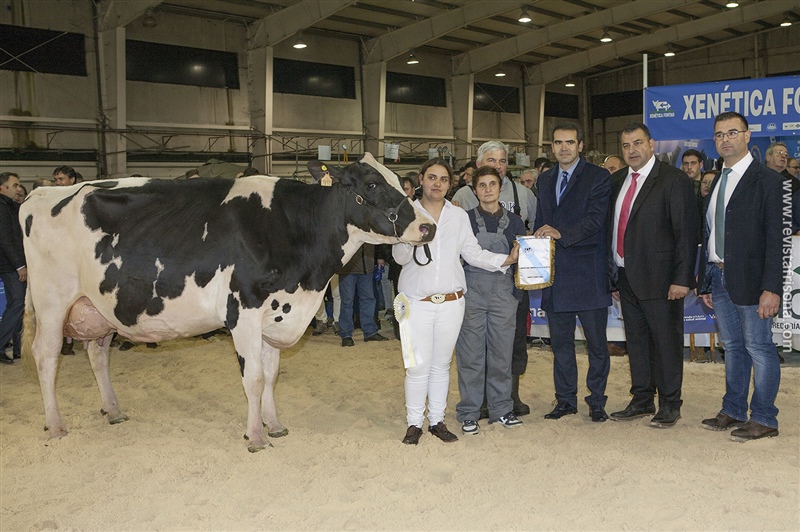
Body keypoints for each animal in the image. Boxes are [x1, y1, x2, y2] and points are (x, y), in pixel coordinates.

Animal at [20, 152, 432, 450]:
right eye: (372, 183)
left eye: (400, 180)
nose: (428, 226)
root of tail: (39, 193)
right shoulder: (244, 311)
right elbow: (254, 378)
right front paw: (256, 436)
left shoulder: (276, 314)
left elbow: (271, 375)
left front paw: (275, 424)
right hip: (52, 300)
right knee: (46, 354)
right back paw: (56, 425)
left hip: (99, 304)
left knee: (97, 353)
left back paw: (114, 409)